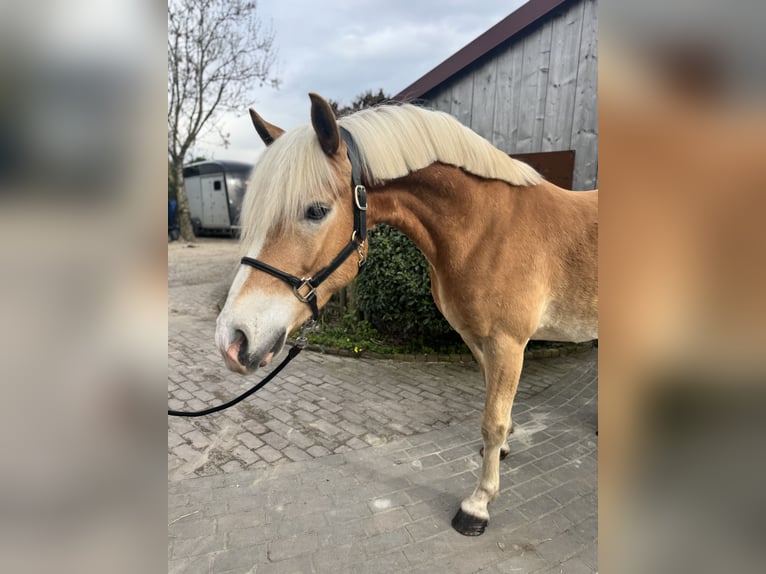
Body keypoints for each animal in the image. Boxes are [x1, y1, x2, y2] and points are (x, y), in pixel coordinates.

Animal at [215, 93, 598, 536]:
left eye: (315, 211)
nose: (232, 339)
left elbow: (493, 420)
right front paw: (499, 452)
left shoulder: (507, 343)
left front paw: (478, 504)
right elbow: (494, 407)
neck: (487, 228)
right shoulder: (478, 340)